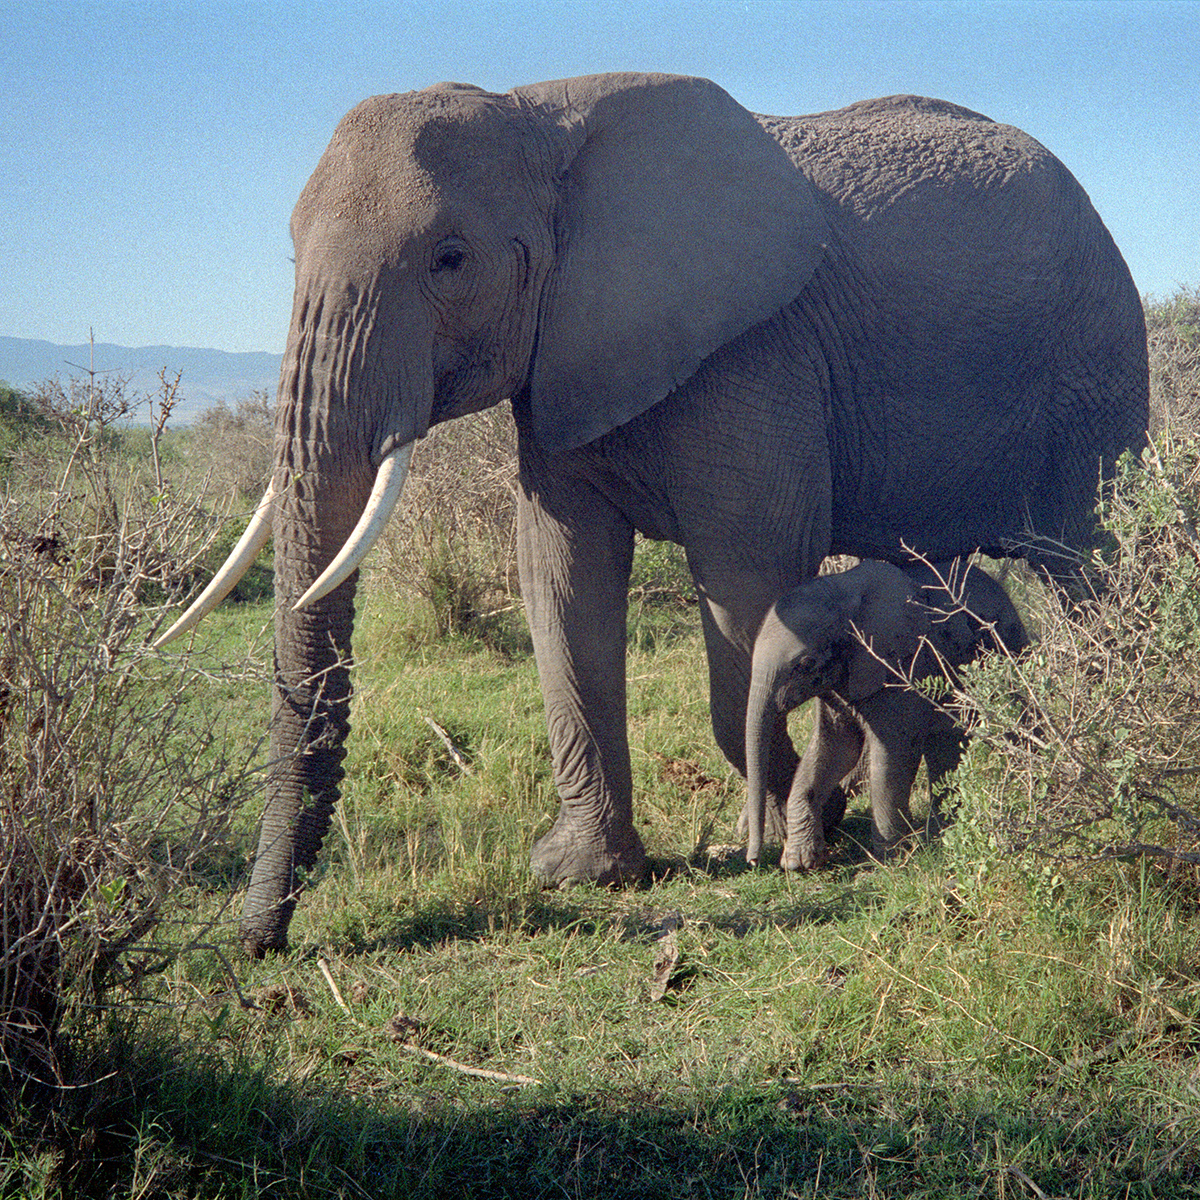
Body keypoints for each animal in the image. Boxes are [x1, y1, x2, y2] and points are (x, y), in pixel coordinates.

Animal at [744, 556, 1027, 878]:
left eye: (805, 663)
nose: (753, 861)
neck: (842, 592)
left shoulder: (901, 667)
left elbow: (891, 757)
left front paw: (887, 862)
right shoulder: (838, 683)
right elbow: (833, 750)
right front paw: (799, 863)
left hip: (1008, 645)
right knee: (945, 746)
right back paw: (942, 836)